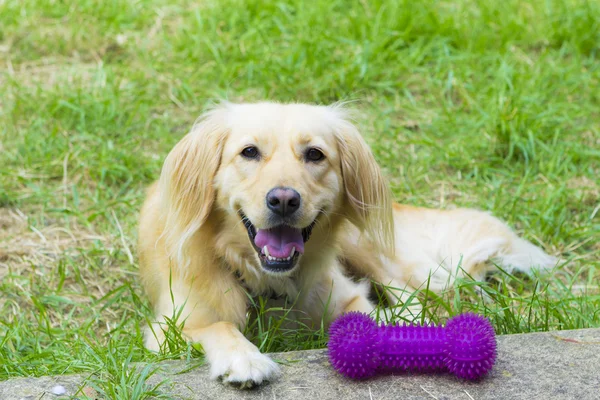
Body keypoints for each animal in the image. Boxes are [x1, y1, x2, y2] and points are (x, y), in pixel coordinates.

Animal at [138, 101, 556, 390]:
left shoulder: (346, 295)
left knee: (410, 291)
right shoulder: (169, 330)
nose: (284, 200)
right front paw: (245, 359)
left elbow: (366, 314)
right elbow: (220, 327)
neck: (269, 281)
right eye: (249, 152)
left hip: (363, 241)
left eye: (315, 154)